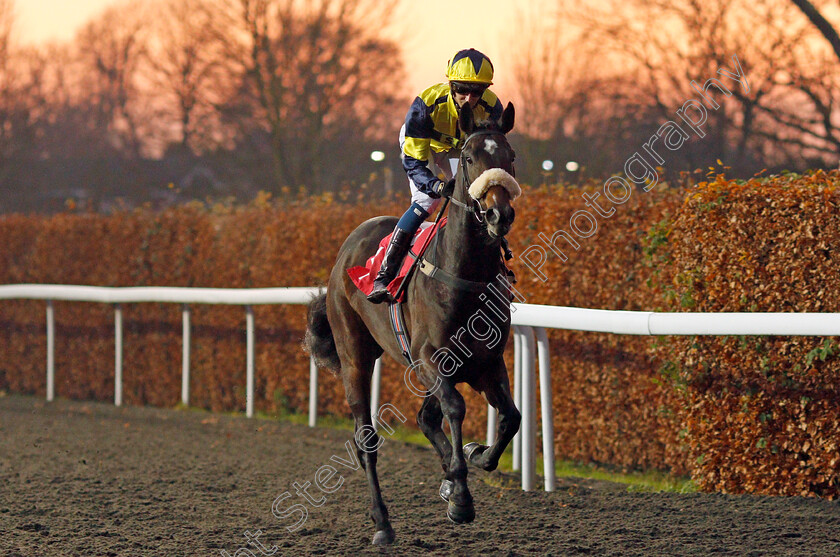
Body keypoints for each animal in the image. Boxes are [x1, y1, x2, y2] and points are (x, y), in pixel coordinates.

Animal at [306, 102, 520, 544]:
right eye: (469, 157)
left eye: (511, 157)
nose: (498, 213)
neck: (464, 274)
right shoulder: (429, 357)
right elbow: (455, 408)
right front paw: (461, 496)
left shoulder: (488, 361)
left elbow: (510, 418)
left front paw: (473, 457)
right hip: (354, 357)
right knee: (365, 439)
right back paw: (382, 523)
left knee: (426, 418)